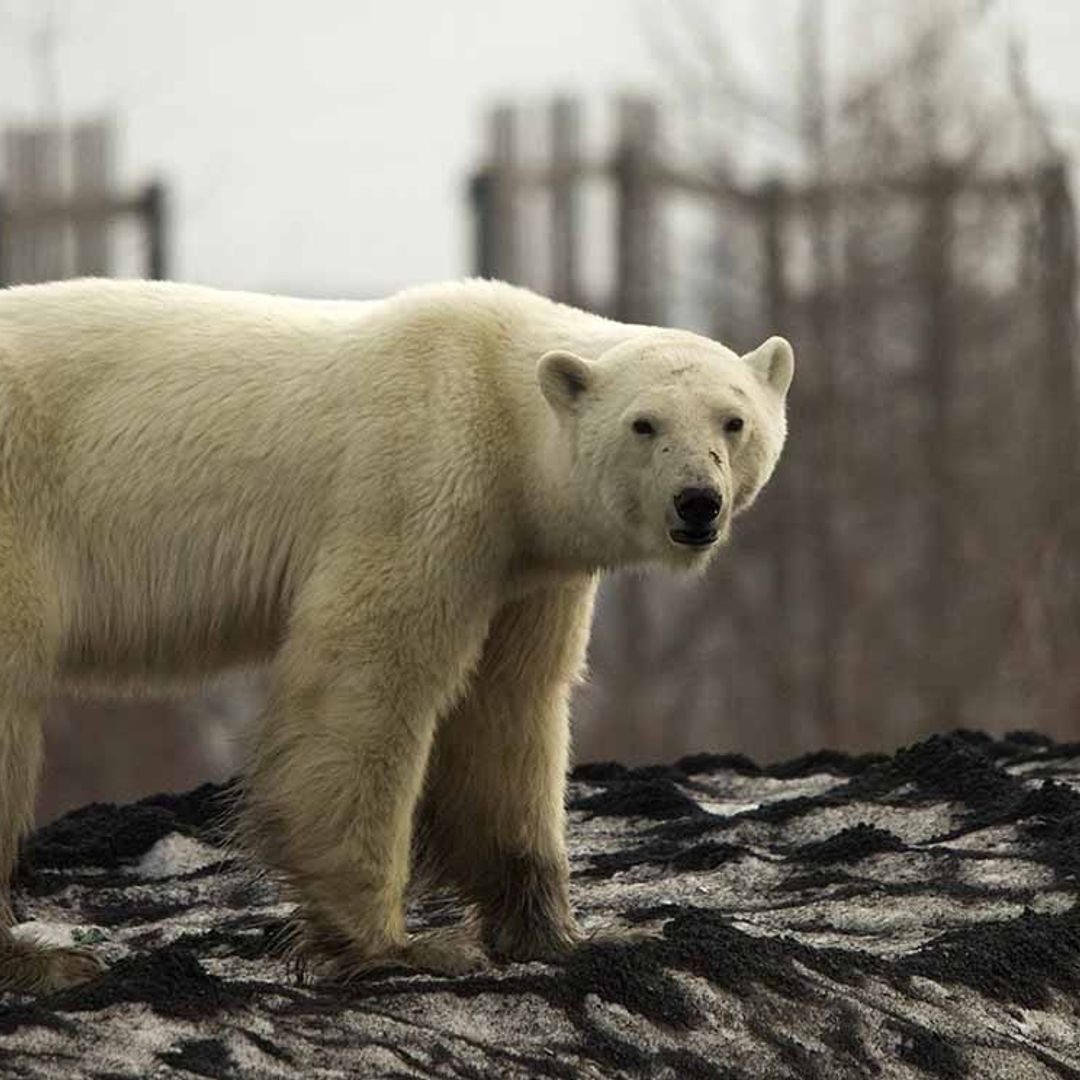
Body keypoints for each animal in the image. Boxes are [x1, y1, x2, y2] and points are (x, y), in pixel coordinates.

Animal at [0, 277, 793, 992]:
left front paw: (563, 932)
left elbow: (510, 707)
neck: (502, 403)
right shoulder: (424, 480)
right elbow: (368, 676)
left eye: (733, 420)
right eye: (644, 424)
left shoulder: (525, 565)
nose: (697, 502)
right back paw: (44, 962)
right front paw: (400, 946)